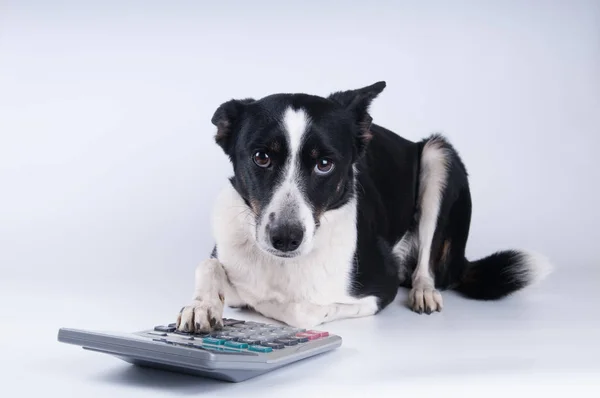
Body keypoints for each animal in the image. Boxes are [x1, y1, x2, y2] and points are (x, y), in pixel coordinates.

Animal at [173, 80, 552, 330]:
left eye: (324, 164)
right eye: (261, 157)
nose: (285, 238)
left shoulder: (377, 289)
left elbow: (300, 311)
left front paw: (255, 302)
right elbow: (208, 266)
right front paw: (202, 305)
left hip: (438, 155)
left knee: (428, 265)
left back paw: (423, 290)